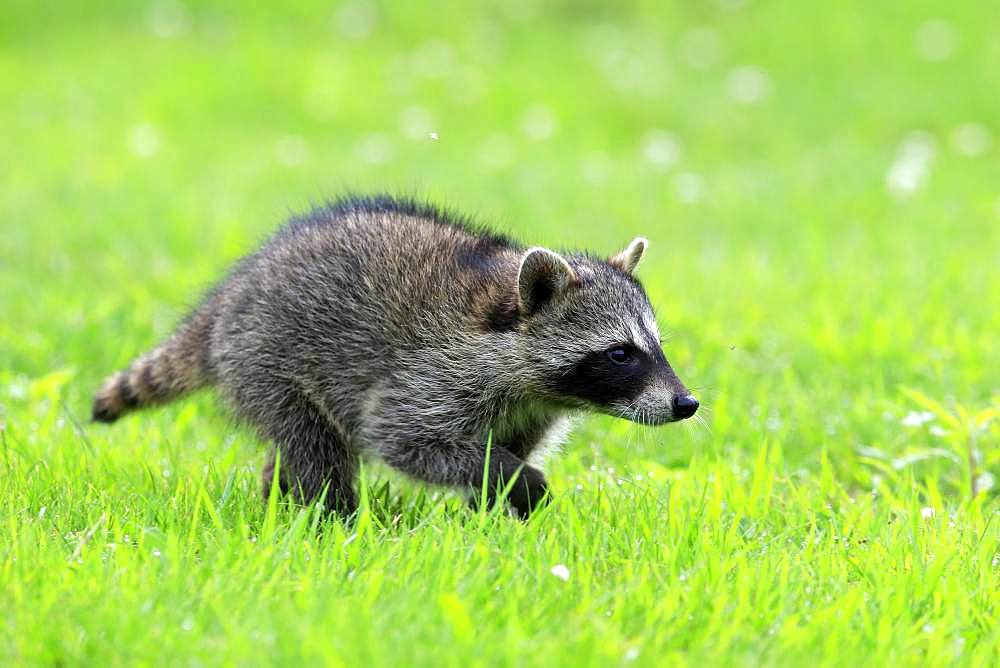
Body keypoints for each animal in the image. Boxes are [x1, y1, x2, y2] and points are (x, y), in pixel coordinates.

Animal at [95, 193, 704, 516]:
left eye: (654, 347)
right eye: (621, 354)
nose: (686, 404)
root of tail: (229, 296)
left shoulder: (528, 409)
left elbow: (501, 447)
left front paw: (493, 507)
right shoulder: (432, 374)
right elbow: (404, 440)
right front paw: (512, 478)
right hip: (267, 358)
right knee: (316, 446)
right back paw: (331, 517)